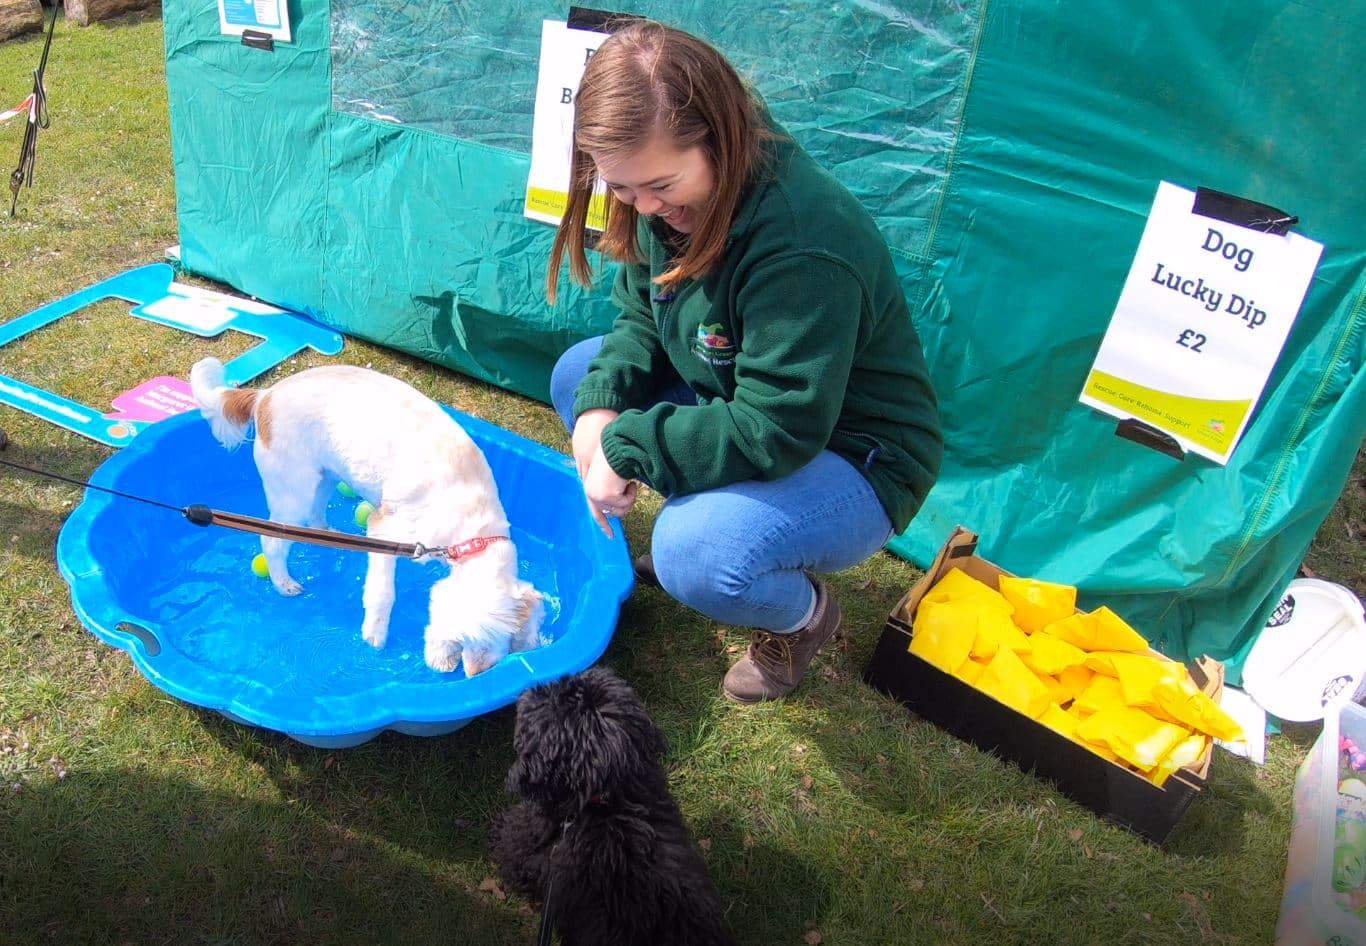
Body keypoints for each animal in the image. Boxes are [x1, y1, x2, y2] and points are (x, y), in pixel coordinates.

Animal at [192, 357, 543, 674]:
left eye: (504, 640)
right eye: (470, 639)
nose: (477, 674)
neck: (472, 527)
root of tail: (266, 395)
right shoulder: (385, 530)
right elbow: (383, 592)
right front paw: (375, 634)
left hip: (325, 476)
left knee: (315, 519)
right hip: (294, 492)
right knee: (273, 541)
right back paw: (284, 584)